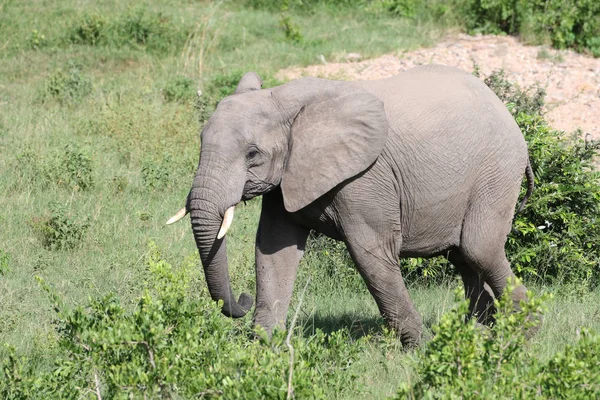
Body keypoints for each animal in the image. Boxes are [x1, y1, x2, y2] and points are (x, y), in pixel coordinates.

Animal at [165, 65, 536, 346]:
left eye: (252, 154)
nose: (241, 300)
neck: (284, 100)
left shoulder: (365, 178)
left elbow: (371, 253)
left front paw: (421, 349)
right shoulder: (289, 176)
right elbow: (272, 250)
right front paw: (262, 346)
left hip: (496, 174)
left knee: (478, 249)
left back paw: (524, 332)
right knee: (464, 258)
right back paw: (480, 333)